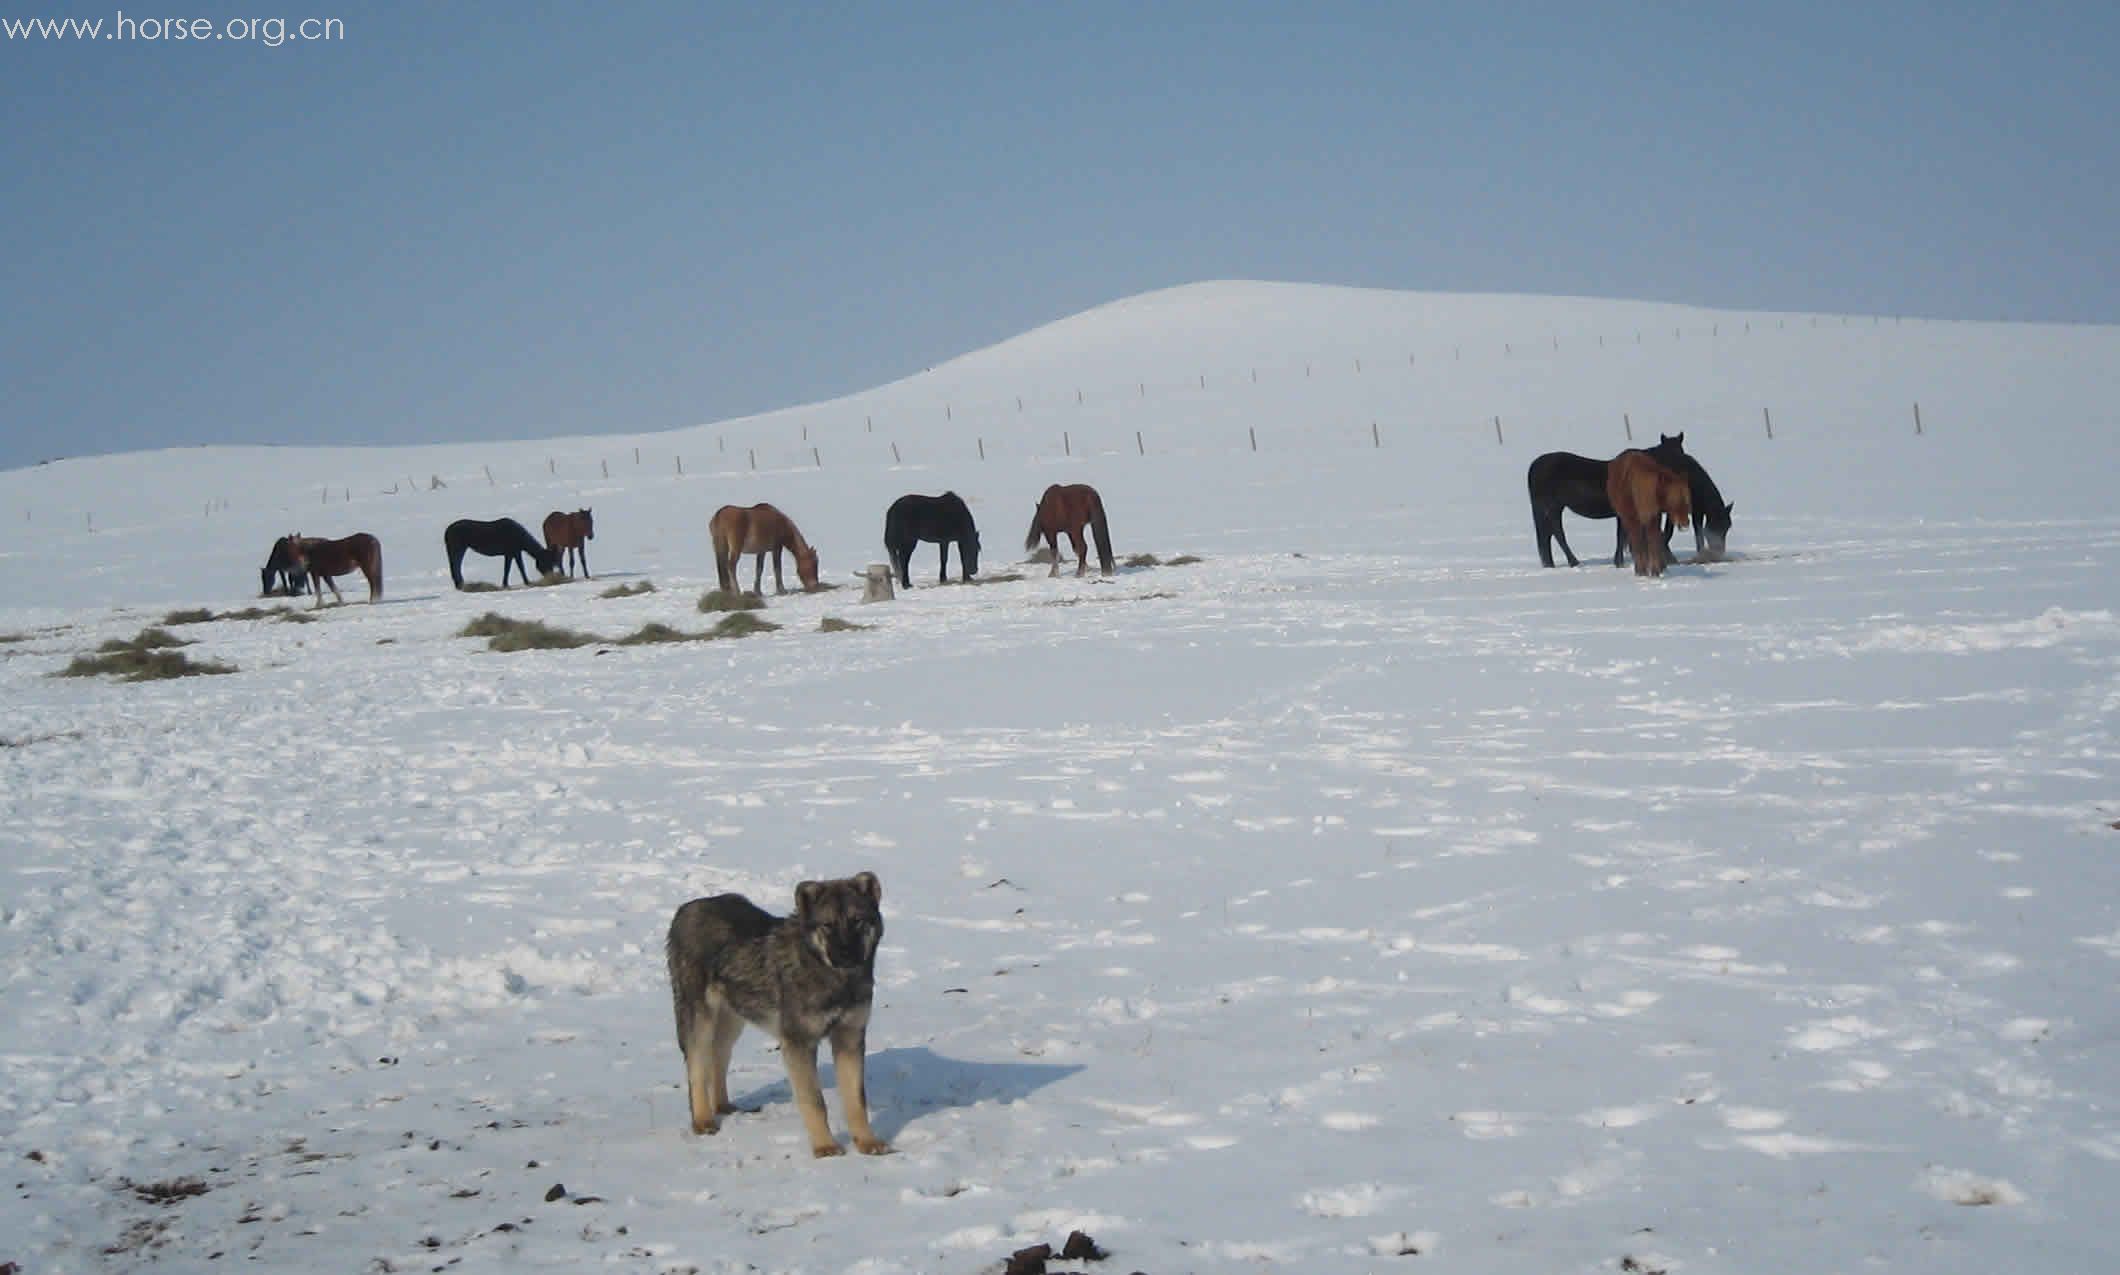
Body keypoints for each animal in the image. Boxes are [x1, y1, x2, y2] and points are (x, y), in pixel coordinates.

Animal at [665, 874, 890, 1154]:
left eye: (857, 920)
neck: (835, 978)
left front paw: (867, 1143)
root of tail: (685, 909)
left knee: (718, 1056)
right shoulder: (798, 1043)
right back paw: (703, 1120)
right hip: (699, 1018)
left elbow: (856, 1100)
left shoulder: (850, 1038)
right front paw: (825, 1147)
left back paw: (724, 1107)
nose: (846, 953)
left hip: (733, 1018)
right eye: (827, 925)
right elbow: (814, 1101)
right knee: (696, 1067)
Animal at [1526, 432, 1687, 568]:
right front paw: (1620, 562)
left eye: (1681, 451)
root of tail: (1534, 466)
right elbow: (1622, 537)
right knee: (1557, 533)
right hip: (1552, 508)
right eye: (1667, 454)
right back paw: (1573, 562)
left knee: (1547, 536)